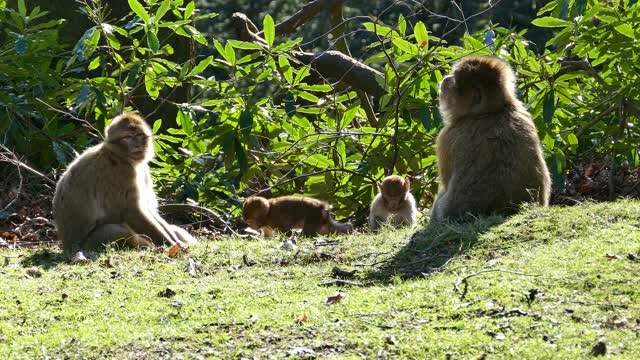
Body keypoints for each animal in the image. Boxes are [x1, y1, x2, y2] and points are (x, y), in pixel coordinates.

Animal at [53, 112, 195, 250]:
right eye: (128, 137)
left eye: (139, 135)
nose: (137, 144)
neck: (119, 156)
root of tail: (66, 245)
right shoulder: (121, 173)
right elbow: (131, 212)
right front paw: (172, 244)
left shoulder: (142, 170)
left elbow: (148, 208)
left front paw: (175, 239)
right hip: (87, 243)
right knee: (116, 231)